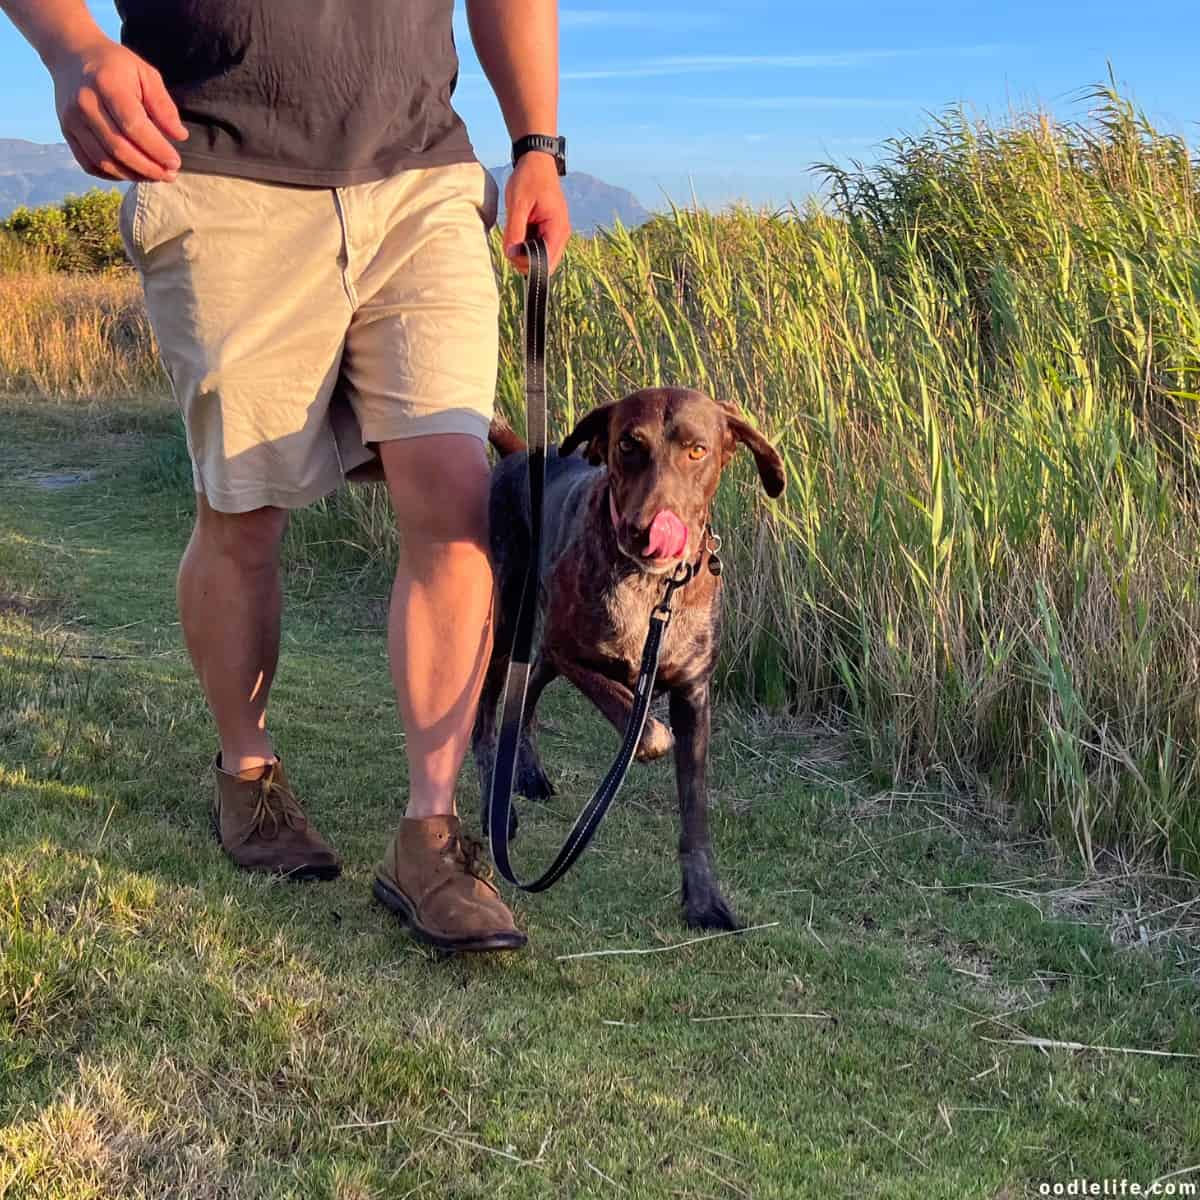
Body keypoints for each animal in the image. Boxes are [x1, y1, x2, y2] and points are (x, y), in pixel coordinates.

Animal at [477, 384, 787, 926]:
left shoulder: (693, 694)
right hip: (511, 615)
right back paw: (496, 802)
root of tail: (519, 454)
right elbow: (645, 729)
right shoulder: (573, 650)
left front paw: (704, 899)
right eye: (627, 444)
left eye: (697, 450)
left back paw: (529, 771)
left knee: (530, 684)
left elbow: (694, 810)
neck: (654, 588)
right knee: (488, 713)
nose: (647, 530)